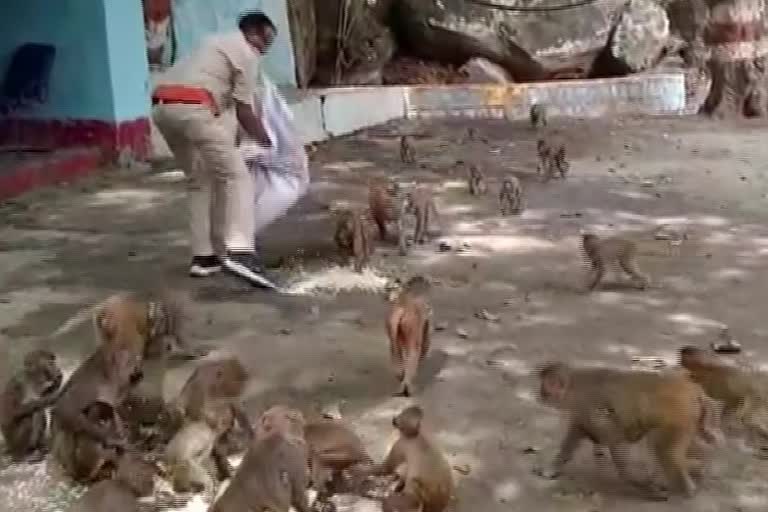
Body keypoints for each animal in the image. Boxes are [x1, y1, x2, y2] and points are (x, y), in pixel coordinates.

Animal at [536, 362, 724, 498]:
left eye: (545, 388)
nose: (539, 396)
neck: (576, 385)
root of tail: (693, 390)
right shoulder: (582, 409)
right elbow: (580, 430)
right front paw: (554, 466)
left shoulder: (587, 404)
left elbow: (613, 435)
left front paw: (636, 481)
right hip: (692, 416)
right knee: (702, 440)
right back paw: (702, 466)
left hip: (677, 415)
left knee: (664, 451)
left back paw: (687, 485)